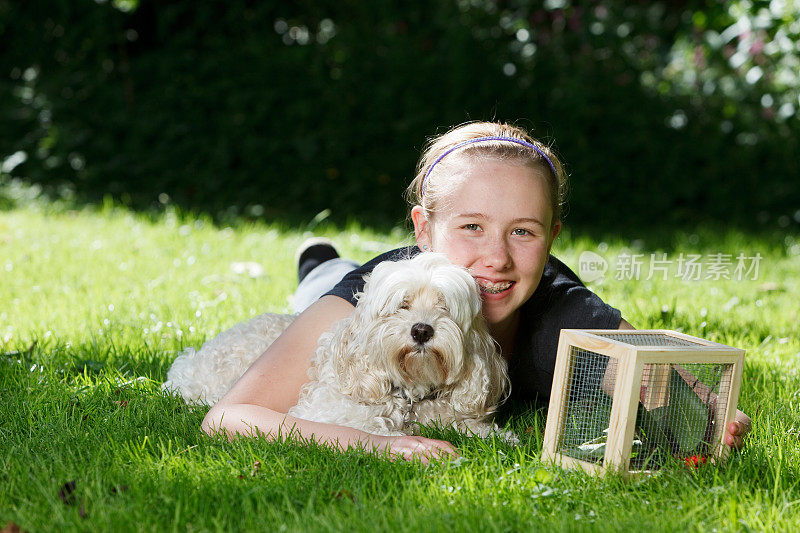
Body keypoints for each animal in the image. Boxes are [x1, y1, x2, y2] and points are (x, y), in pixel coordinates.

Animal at [163, 254, 516, 440]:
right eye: (402, 305)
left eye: (444, 307)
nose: (422, 330)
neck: (409, 395)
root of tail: (187, 364)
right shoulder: (326, 412)